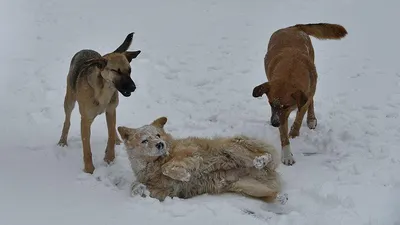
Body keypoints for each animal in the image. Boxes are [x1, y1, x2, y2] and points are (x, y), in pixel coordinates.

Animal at [57, 32, 141, 174]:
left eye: (129, 70)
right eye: (116, 71)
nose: (133, 87)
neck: (104, 90)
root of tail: (85, 50)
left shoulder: (111, 111)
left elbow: (111, 135)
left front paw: (109, 158)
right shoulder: (85, 120)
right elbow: (87, 148)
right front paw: (89, 169)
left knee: (113, 128)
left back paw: (118, 139)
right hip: (69, 100)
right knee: (67, 120)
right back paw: (62, 141)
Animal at [117, 117, 286, 203]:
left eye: (158, 135)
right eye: (145, 140)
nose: (160, 144)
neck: (156, 163)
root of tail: (269, 171)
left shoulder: (192, 154)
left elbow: (168, 167)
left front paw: (184, 175)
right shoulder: (164, 191)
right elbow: (136, 186)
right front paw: (138, 189)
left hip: (231, 147)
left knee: (264, 156)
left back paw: (261, 160)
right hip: (246, 186)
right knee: (271, 192)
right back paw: (280, 197)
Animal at [253, 23, 346, 165]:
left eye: (286, 106)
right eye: (270, 103)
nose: (274, 123)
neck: (290, 71)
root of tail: (293, 27)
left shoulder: (297, 102)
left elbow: (300, 116)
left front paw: (294, 132)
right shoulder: (281, 115)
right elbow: (283, 134)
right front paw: (287, 154)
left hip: (312, 82)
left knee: (310, 100)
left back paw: (311, 118)